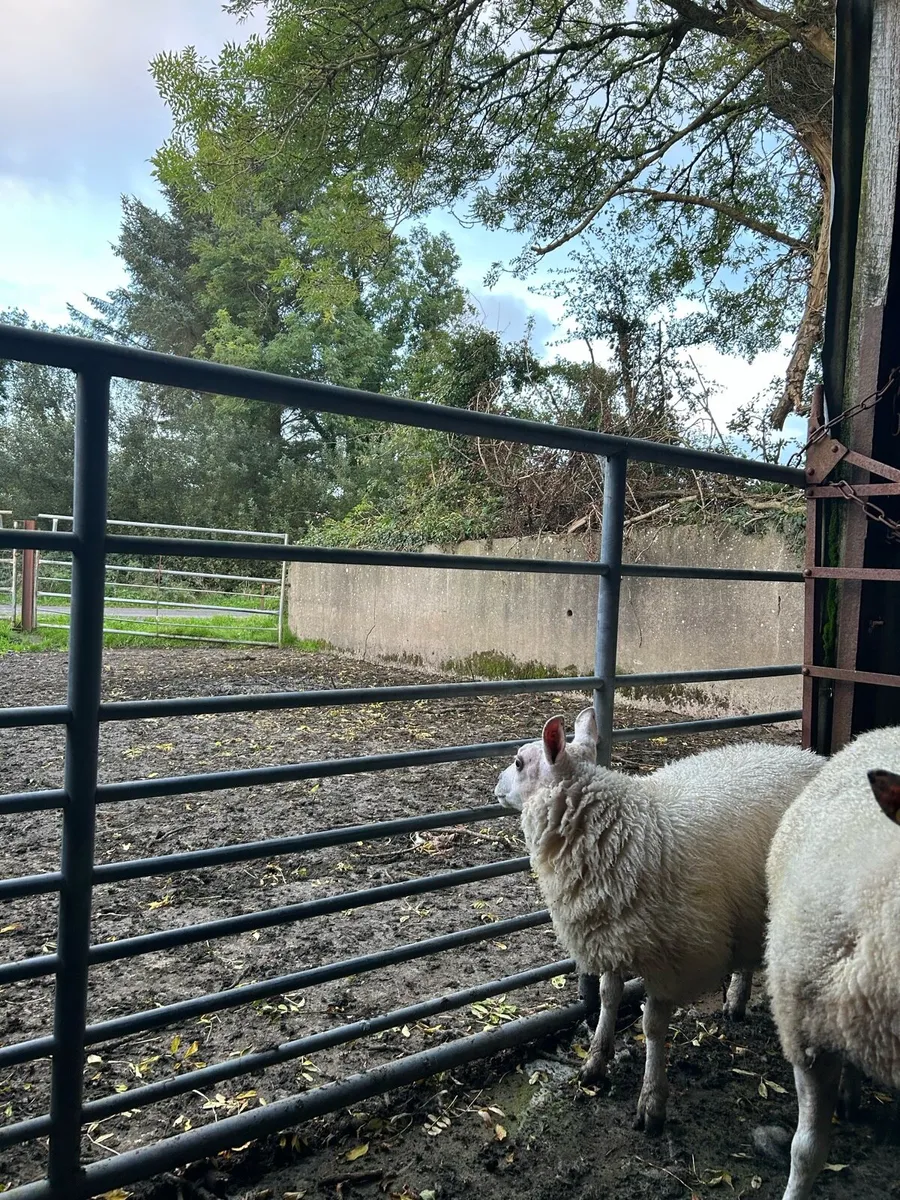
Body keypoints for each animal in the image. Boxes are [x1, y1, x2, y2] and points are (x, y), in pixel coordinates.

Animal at [494, 706, 822, 1133]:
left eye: (519, 762)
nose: (495, 785)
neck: (614, 829)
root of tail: (812, 756)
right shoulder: (612, 933)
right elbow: (607, 999)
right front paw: (595, 1062)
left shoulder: (670, 960)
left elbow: (651, 1027)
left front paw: (651, 1101)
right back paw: (736, 998)